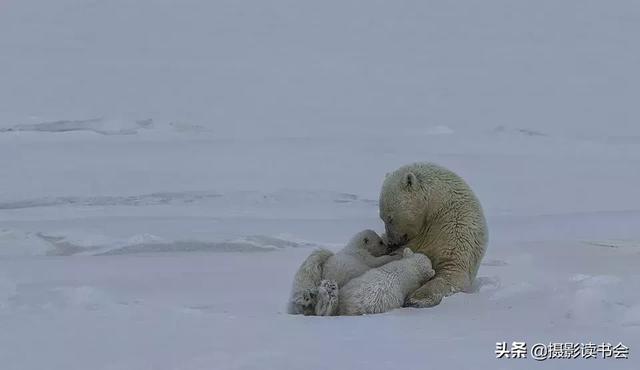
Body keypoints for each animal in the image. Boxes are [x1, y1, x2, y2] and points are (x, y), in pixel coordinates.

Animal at [380, 161, 490, 306]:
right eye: (382, 218)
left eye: (390, 218)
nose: (391, 243)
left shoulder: (454, 228)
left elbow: (451, 272)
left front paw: (417, 298)